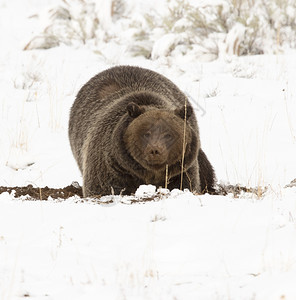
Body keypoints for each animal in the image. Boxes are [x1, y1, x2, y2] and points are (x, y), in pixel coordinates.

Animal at [68, 65, 214, 197]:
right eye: (146, 133)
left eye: (169, 134)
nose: (155, 150)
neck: (150, 174)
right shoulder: (110, 165)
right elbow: (103, 188)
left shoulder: (182, 170)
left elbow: (186, 184)